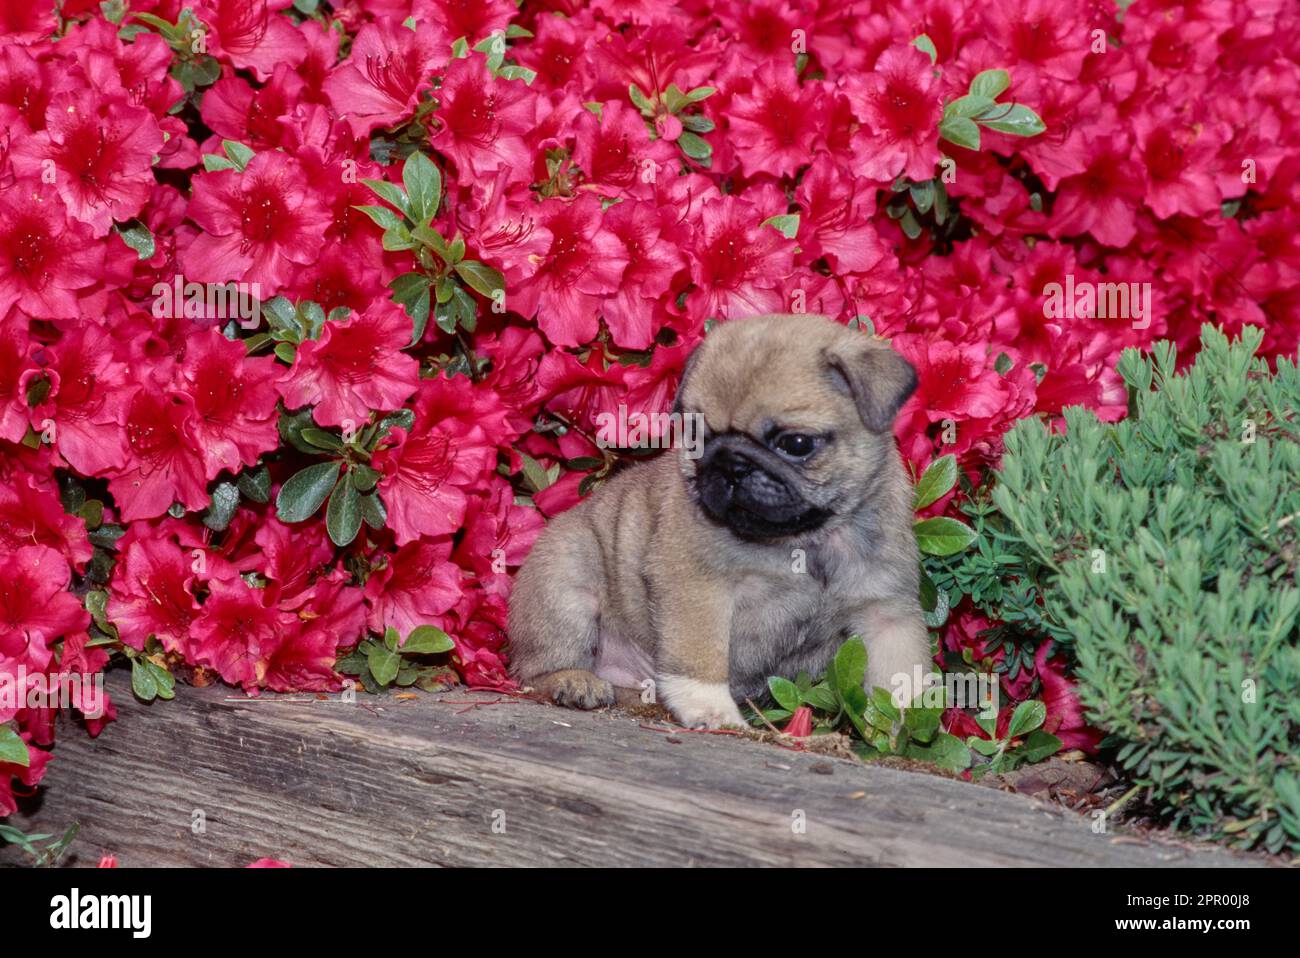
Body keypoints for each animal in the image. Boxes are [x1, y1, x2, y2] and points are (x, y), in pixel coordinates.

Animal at [504, 314, 925, 722]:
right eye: (697, 437)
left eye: (795, 444)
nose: (731, 465)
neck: (807, 539)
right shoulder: (698, 587)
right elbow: (700, 660)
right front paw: (711, 710)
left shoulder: (887, 615)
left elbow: (900, 682)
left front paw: (902, 731)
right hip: (566, 591)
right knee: (534, 670)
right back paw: (574, 680)